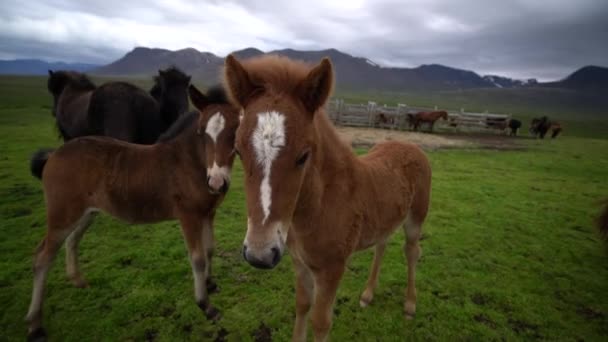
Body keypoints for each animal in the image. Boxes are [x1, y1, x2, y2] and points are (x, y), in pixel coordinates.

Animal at [26, 85, 240, 340]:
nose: (217, 183)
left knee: (72, 240)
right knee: (42, 257)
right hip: (62, 214)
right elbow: (197, 258)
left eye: (235, 130)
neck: (190, 163)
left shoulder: (208, 213)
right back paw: (35, 324)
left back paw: (78, 281)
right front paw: (206, 306)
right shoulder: (189, 216)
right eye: (202, 133)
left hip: (87, 212)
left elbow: (209, 250)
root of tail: (53, 155)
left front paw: (210, 284)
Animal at [223, 54, 432, 340]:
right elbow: (302, 306)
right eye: (238, 152)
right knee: (382, 245)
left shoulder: (332, 269)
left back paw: (410, 305)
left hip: (416, 219)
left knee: (412, 251)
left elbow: (321, 322)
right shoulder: (299, 263)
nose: (260, 254)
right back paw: (368, 294)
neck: (319, 208)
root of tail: (410, 145)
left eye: (303, 156)